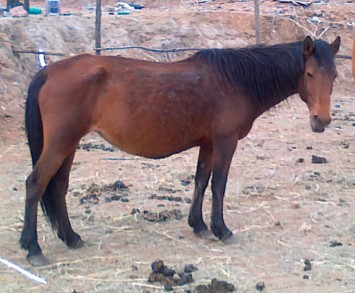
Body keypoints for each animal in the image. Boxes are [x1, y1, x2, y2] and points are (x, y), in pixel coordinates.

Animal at [20, 36, 340, 264]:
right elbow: (219, 185)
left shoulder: (208, 144)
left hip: (68, 145)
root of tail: (49, 71)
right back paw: (33, 248)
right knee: (35, 184)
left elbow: (201, 181)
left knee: (58, 187)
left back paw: (71, 238)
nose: (321, 120)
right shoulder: (225, 142)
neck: (235, 81)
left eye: (335, 75)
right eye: (309, 74)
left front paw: (198, 225)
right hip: (60, 143)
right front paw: (221, 230)